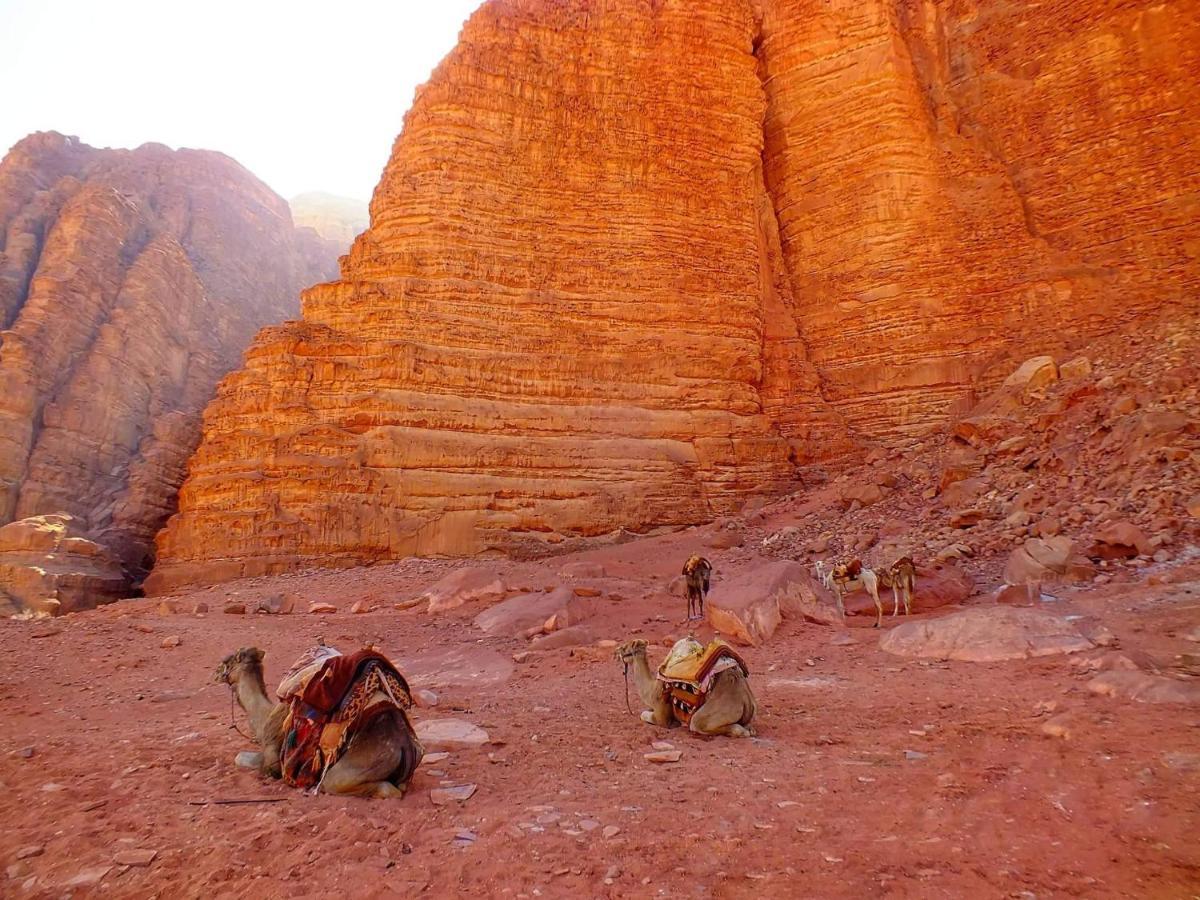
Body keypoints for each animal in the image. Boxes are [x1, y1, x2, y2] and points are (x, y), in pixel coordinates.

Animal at [213, 643, 424, 801]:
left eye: (226, 662)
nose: (214, 673)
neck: (265, 716)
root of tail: (404, 744)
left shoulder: (273, 763)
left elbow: (241, 758)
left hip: (347, 772)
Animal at [614, 638, 753, 734]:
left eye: (625, 648)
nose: (616, 652)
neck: (652, 690)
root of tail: (746, 699)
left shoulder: (661, 713)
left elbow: (644, 715)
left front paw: (675, 723)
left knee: (697, 723)